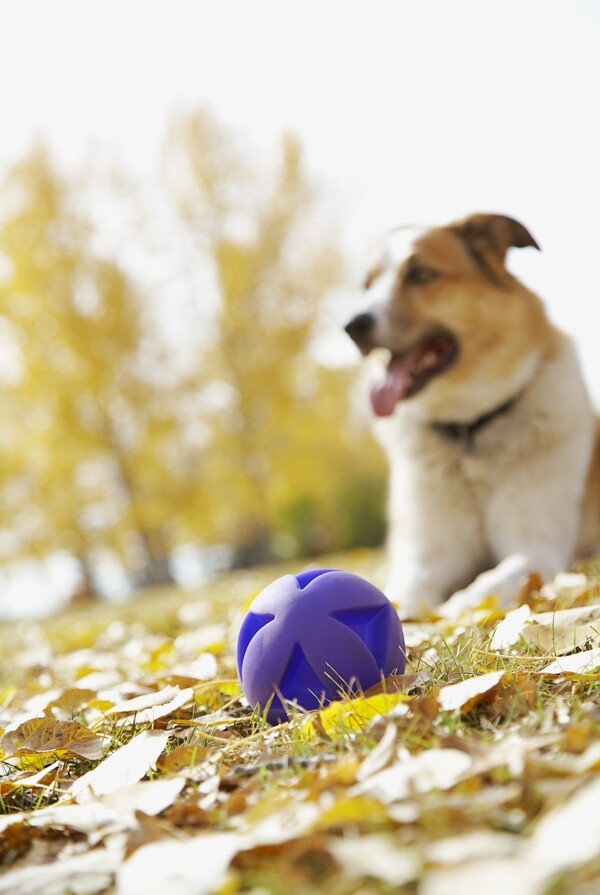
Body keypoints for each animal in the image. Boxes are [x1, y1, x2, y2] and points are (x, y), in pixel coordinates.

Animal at [344, 211, 600, 620]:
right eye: (367, 285)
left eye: (421, 274)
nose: (352, 325)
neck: (469, 435)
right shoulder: (429, 555)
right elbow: (404, 587)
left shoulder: (534, 546)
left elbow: (492, 579)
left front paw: (459, 607)